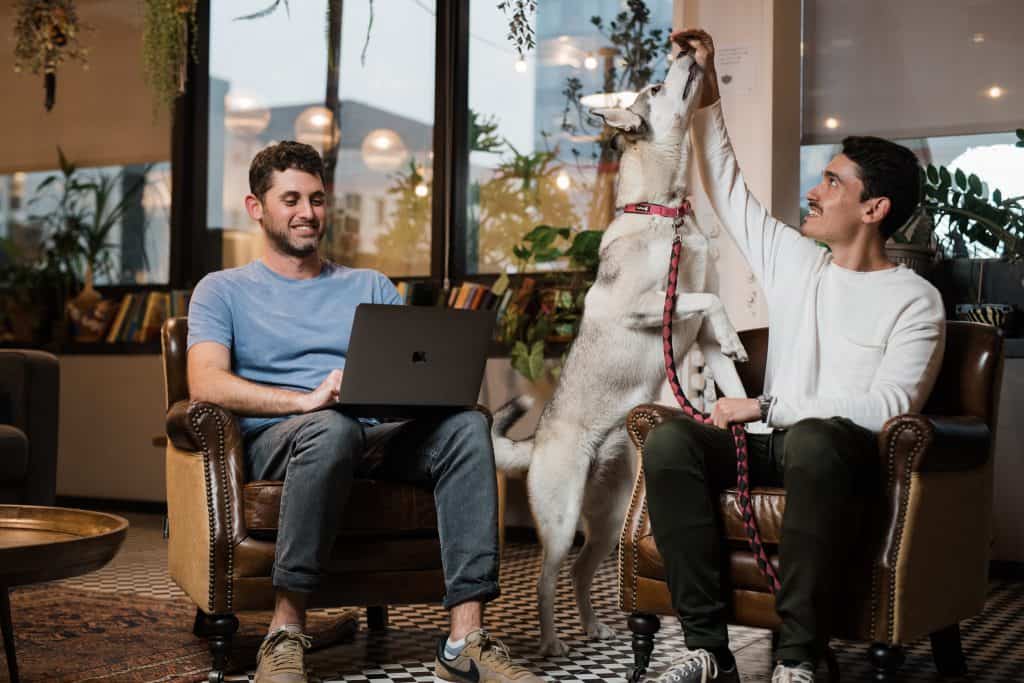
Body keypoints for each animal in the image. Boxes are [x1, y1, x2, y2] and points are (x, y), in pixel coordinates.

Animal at [491, 49, 749, 655]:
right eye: (655, 86)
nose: (686, 51)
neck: (666, 212)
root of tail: (538, 437)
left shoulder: (699, 336)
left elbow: (729, 368)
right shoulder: (648, 306)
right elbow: (704, 299)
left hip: (607, 522)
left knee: (583, 572)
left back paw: (591, 626)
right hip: (562, 519)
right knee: (547, 579)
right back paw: (553, 643)